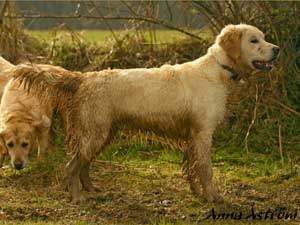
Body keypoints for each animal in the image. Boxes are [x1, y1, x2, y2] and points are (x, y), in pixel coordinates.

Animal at [11, 24, 278, 202]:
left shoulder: (191, 136)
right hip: (94, 133)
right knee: (72, 165)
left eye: (264, 38)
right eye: (254, 40)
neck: (218, 70)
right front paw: (213, 197)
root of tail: (83, 78)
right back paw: (78, 198)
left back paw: (93, 190)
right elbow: (206, 170)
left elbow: (192, 168)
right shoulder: (203, 133)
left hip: (102, 133)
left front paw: (197, 193)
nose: (276, 49)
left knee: (84, 165)